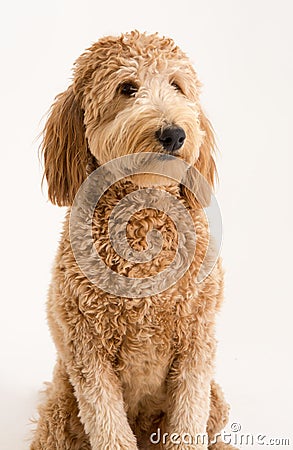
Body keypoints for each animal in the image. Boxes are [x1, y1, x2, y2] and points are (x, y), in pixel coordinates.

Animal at [31, 29, 237, 448]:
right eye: (127, 88)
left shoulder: (196, 346)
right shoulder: (88, 353)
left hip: (216, 398)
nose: (174, 133)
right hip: (60, 412)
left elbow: (188, 423)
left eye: (176, 86)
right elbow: (108, 425)